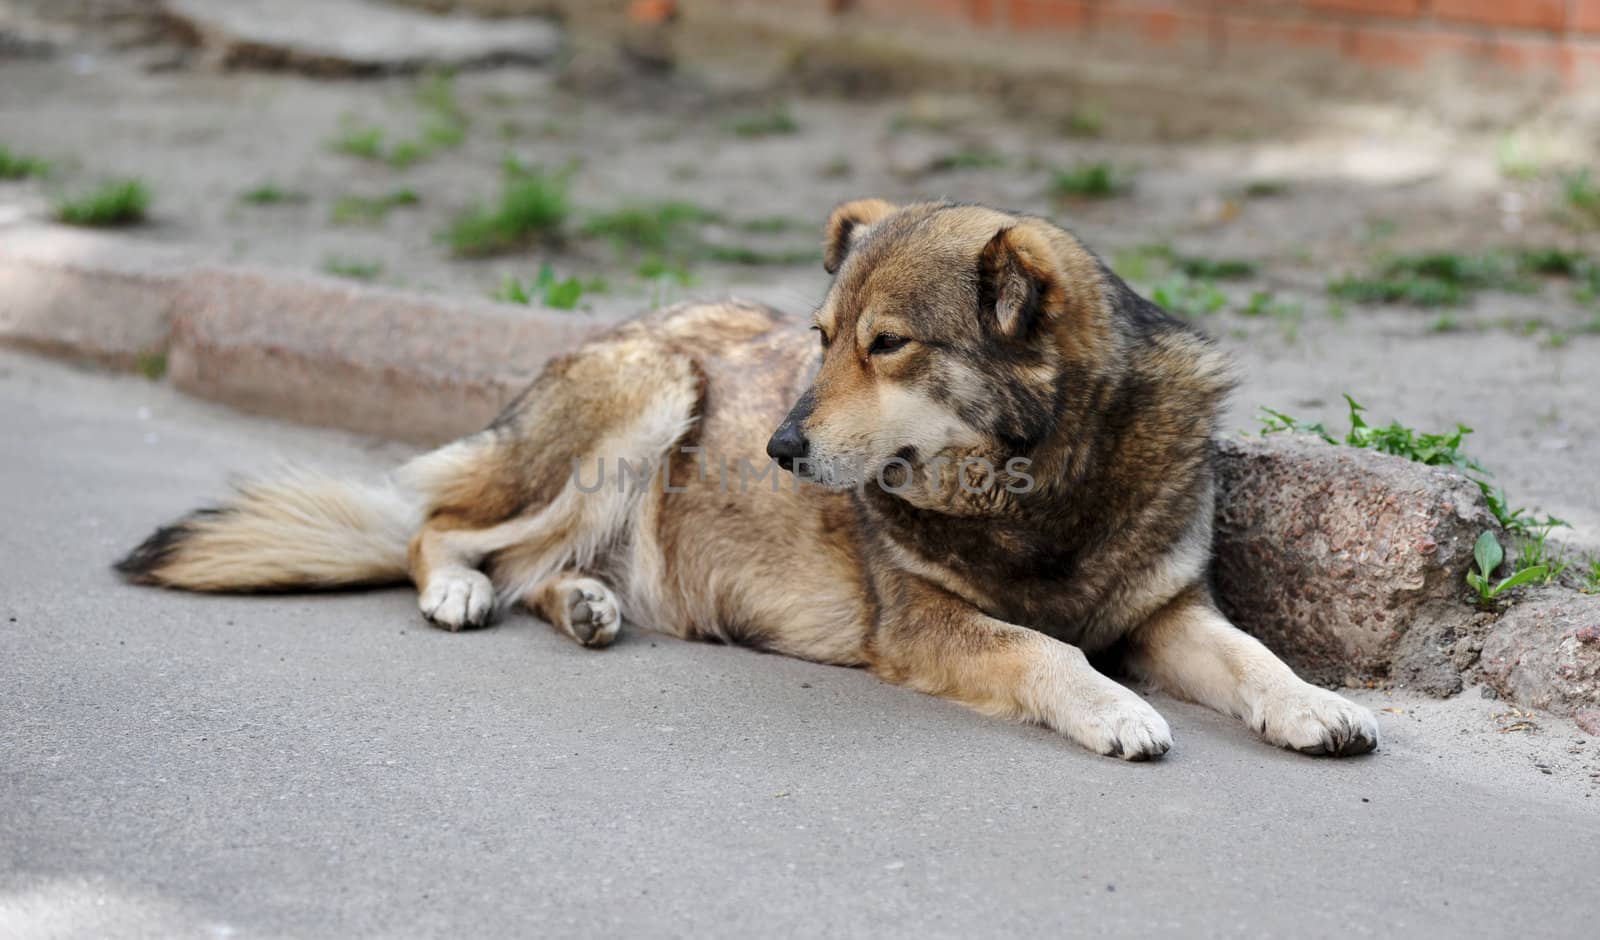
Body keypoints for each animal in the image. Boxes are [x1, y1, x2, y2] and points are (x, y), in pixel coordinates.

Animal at [118, 202, 1382, 760]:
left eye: (886, 346)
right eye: (821, 340)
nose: (777, 448)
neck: (1038, 487)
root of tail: (619, 329)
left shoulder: (1169, 610)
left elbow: (1251, 657)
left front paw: (1313, 705)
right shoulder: (924, 626)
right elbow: (1045, 652)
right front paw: (1116, 709)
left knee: (530, 561)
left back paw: (586, 603)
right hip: (649, 398)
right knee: (441, 528)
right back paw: (461, 592)